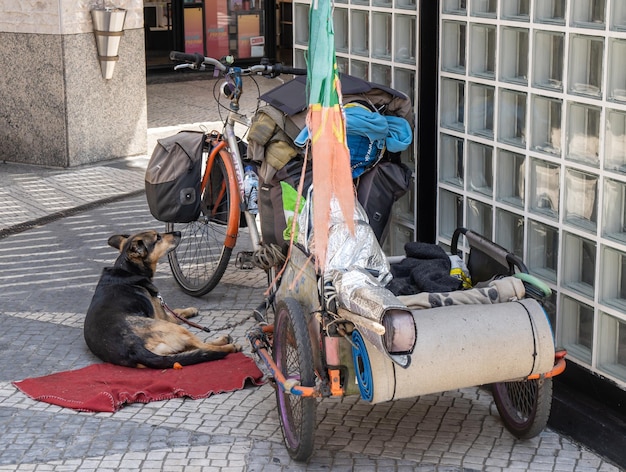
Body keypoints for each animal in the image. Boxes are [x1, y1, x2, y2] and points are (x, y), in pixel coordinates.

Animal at [83, 230, 239, 368]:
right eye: (157, 237)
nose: (179, 232)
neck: (128, 269)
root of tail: (134, 348)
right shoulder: (164, 316)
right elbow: (175, 313)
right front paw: (190, 310)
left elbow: (176, 311)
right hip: (175, 328)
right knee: (204, 346)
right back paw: (228, 344)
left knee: (196, 349)